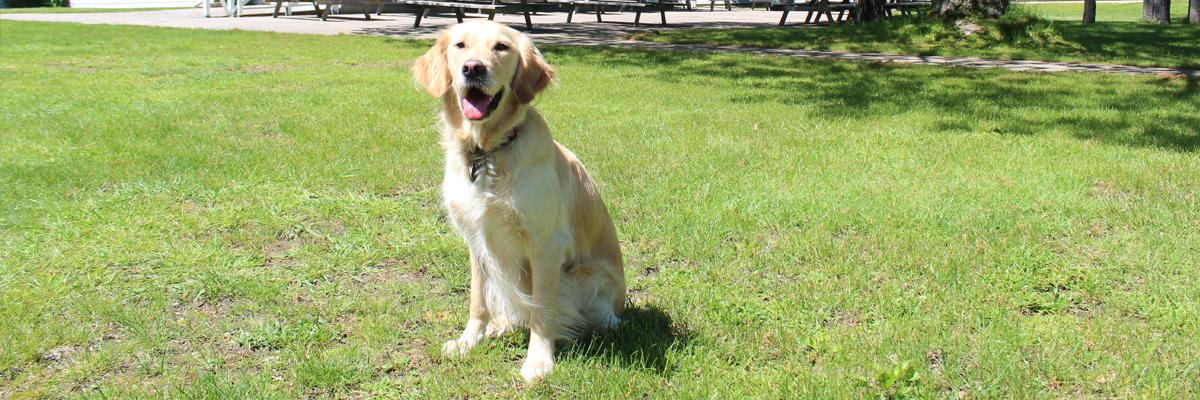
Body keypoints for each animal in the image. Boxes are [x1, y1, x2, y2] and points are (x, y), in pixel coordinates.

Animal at [412, 21, 628, 379]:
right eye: (460, 45)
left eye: (502, 47)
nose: (473, 68)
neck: (487, 152)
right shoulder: (477, 241)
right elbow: (478, 301)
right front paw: (468, 341)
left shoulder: (546, 244)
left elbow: (541, 309)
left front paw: (539, 360)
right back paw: (500, 326)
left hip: (585, 279)